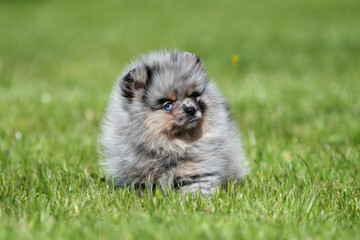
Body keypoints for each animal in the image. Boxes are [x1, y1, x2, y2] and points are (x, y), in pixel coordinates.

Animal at [100, 51, 249, 195]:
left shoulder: (196, 170)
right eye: (168, 105)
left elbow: (193, 189)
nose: (191, 109)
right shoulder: (137, 173)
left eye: (193, 96)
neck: (170, 145)